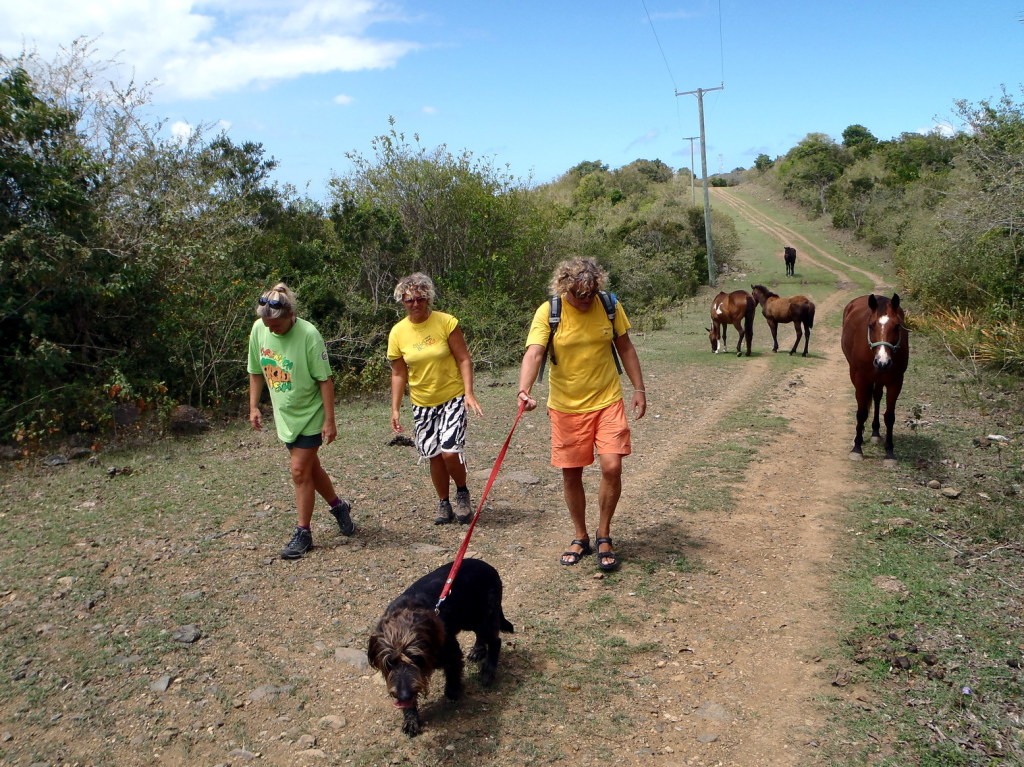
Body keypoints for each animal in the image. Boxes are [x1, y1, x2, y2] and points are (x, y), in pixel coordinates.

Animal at [366, 561, 512, 733]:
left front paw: (453, 692)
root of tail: (487, 565)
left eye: (416, 659)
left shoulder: (452, 652)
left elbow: (453, 673)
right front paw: (410, 718)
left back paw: (488, 670)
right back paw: (478, 650)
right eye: (389, 663)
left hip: (483, 618)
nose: (403, 696)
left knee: (496, 641)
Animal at [843, 290, 909, 462]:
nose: (882, 362)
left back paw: (875, 432)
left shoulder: (896, 381)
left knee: (877, 396)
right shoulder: (861, 379)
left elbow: (890, 416)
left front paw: (890, 453)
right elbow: (861, 412)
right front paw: (857, 448)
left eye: (897, 325)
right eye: (871, 325)